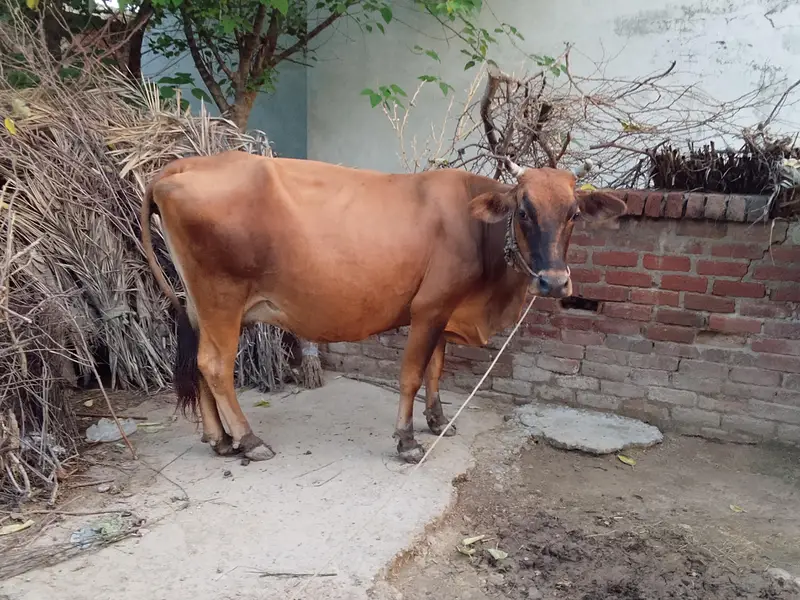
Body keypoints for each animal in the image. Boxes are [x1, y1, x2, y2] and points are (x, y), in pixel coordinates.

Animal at [140, 151, 626, 463]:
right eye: (523, 211)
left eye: (574, 214)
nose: (555, 281)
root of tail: (179, 166)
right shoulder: (428, 308)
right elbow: (411, 374)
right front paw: (407, 440)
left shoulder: (444, 309)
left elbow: (436, 368)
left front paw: (437, 420)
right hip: (221, 297)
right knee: (215, 364)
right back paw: (248, 440)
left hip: (201, 304)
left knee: (200, 362)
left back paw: (219, 439)